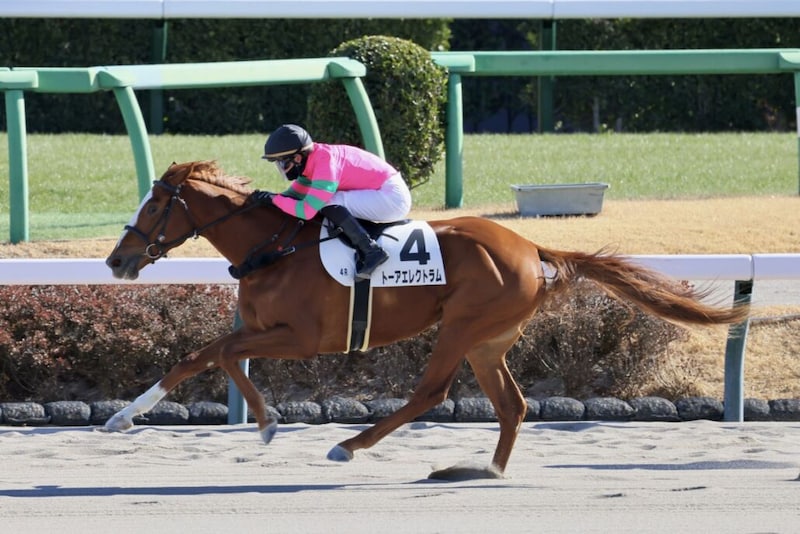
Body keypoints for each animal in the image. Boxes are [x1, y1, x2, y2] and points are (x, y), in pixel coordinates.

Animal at [104, 160, 748, 479]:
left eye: (154, 205)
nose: (116, 261)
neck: (276, 247)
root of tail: (531, 247)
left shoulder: (303, 337)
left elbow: (216, 353)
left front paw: (261, 422)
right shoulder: (265, 330)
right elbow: (208, 354)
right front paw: (127, 417)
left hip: (462, 325)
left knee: (431, 392)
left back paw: (350, 446)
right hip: (489, 340)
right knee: (511, 405)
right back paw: (488, 470)